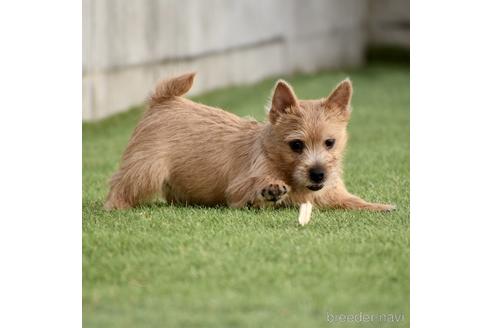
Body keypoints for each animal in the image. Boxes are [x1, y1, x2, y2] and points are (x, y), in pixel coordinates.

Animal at [104, 72, 396, 211]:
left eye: (330, 143)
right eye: (296, 145)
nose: (318, 174)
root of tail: (163, 101)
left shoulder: (330, 193)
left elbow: (352, 200)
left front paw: (380, 206)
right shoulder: (239, 186)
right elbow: (253, 189)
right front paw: (269, 191)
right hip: (146, 168)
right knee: (121, 184)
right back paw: (116, 206)